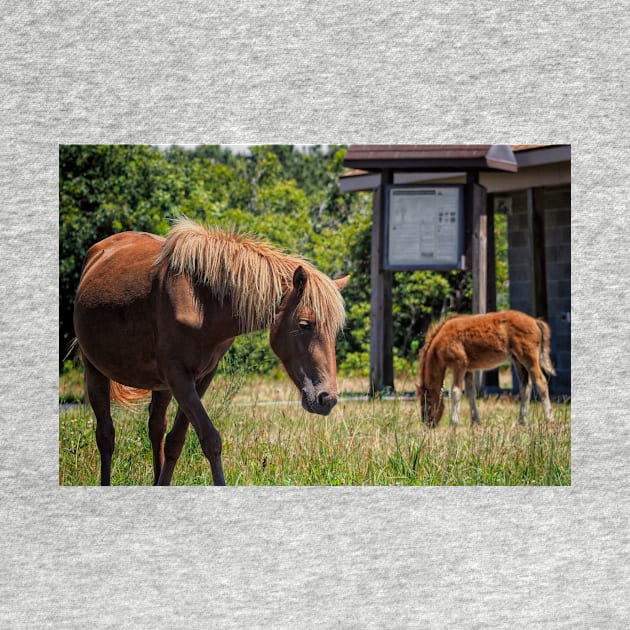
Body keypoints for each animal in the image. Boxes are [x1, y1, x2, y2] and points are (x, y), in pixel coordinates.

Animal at [75, 218, 350, 488]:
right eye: (305, 324)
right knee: (106, 436)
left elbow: (176, 441)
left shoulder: (202, 377)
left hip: (161, 387)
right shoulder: (179, 377)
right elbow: (210, 440)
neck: (202, 302)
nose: (327, 399)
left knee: (156, 429)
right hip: (95, 371)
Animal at [418, 312, 556, 430]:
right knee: (525, 386)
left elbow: (456, 392)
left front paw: (454, 424)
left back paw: (549, 420)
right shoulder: (468, 370)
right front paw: (476, 422)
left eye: (426, 402)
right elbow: (470, 393)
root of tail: (535, 321)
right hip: (517, 360)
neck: (441, 339)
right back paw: (521, 422)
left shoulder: (459, 365)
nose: (428, 423)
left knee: (541, 382)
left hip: (528, 358)